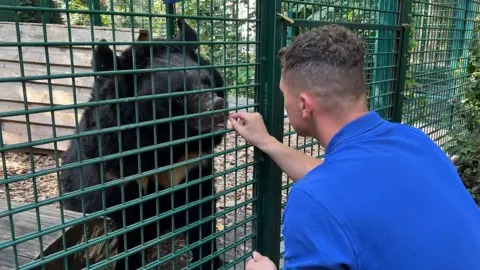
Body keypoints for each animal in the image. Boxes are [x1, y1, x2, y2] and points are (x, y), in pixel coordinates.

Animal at [58, 19, 227, 270]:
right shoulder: (116, 170)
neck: (165, 145)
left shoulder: (192, 163)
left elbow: (201, 213)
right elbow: (122, 231)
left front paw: (211, 261)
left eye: (208, 82)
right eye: (179, 96)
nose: (218, 106)